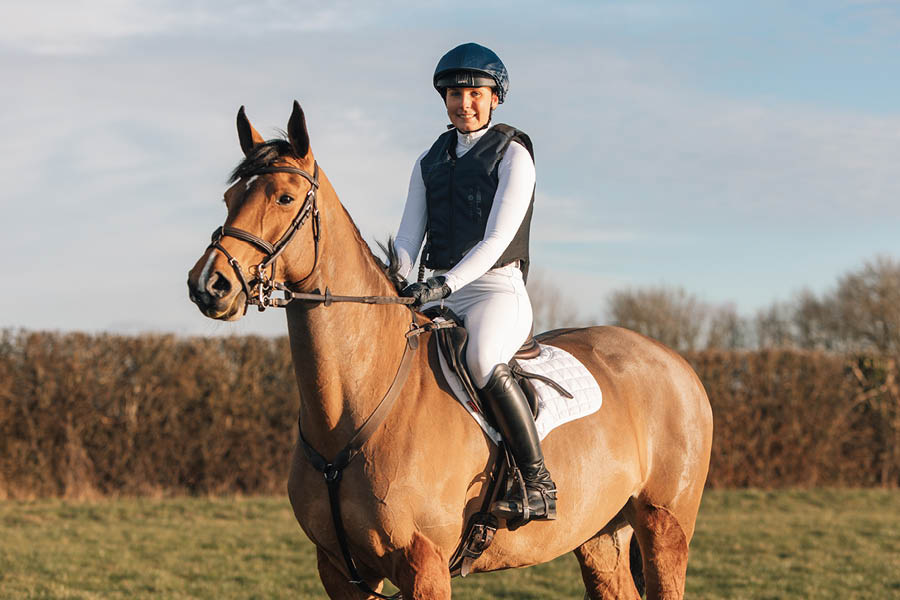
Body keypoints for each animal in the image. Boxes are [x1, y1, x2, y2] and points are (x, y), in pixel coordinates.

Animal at [187, 101, 713, 600]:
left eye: (285, 197)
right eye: (230, 198)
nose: (209, 285)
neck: (353, 407)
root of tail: (674, 362)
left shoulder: (424, 567)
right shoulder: (339, 571)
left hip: (664, 525)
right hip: (600, 534)